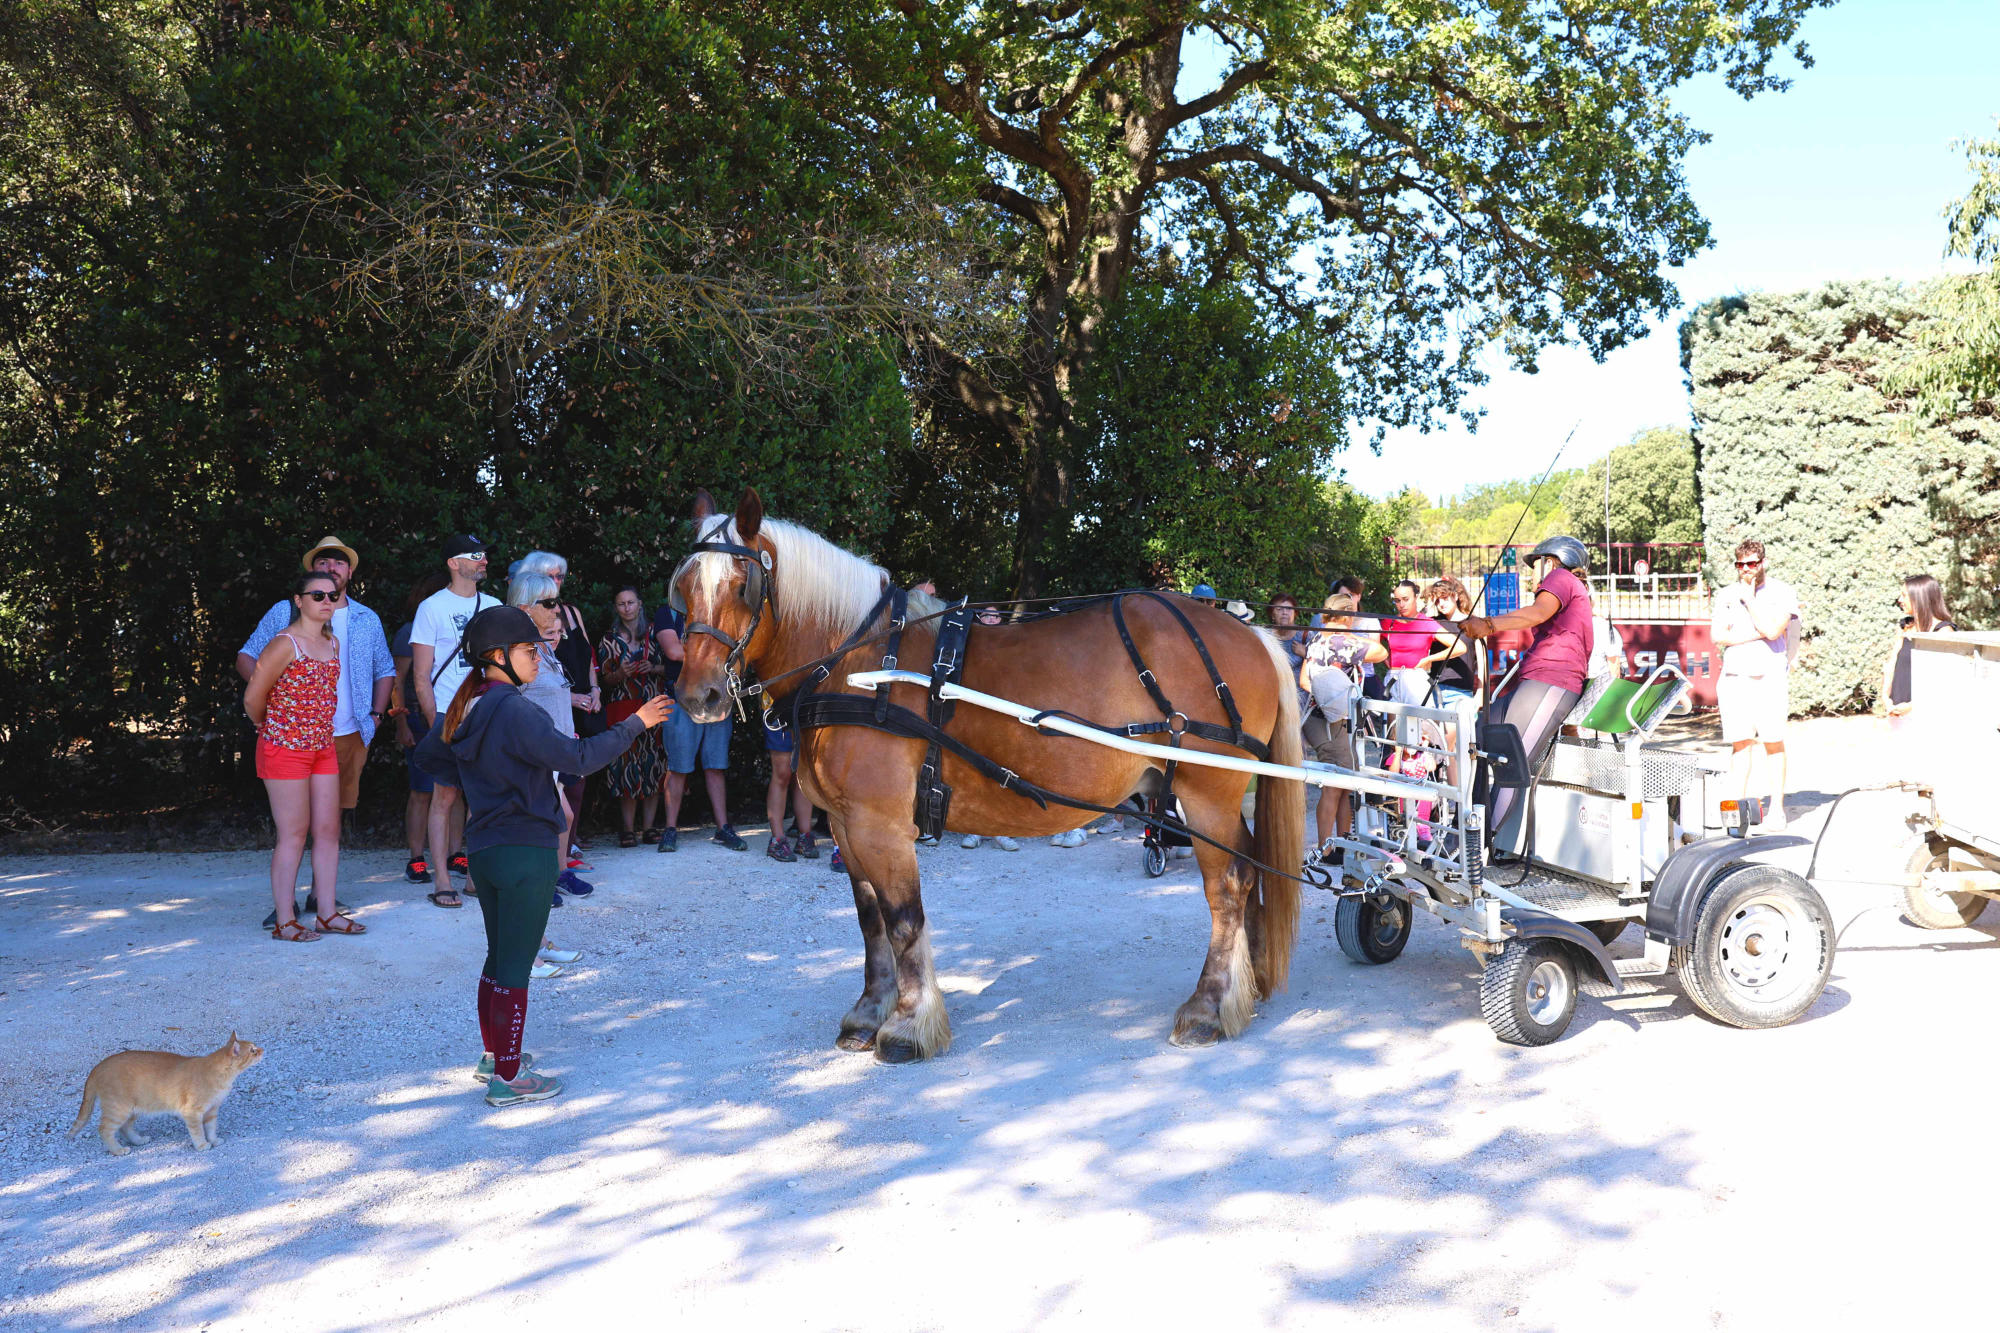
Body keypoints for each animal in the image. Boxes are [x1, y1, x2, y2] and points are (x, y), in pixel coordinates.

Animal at [70, 1024, 266, 1152]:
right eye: (252, 1050)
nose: (263, 1050)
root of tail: (99, 1065)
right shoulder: (192, 1112)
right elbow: (197, 1132)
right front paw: (202, 1145)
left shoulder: (211, 1111)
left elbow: (210, 1128)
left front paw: (214, 1140)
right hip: (118, 1109)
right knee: (105, 1130)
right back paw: (118, 1150)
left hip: (132, 1109)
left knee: (125, 1128)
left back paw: (138, 1140)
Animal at [672, 488, 1304, 1056]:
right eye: (682, 591)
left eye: (743, 586)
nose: (698, 697)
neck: (856, 665)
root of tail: (1252, 633)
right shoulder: (847, 827)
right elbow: (870, 920)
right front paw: (867, 1014)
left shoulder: (882, 826)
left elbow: (904, 921)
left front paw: (907, 1025)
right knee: (1249, 869)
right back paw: (1249, 986)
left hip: (1206, 794)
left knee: (1228, 886)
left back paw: (1210, 1008)